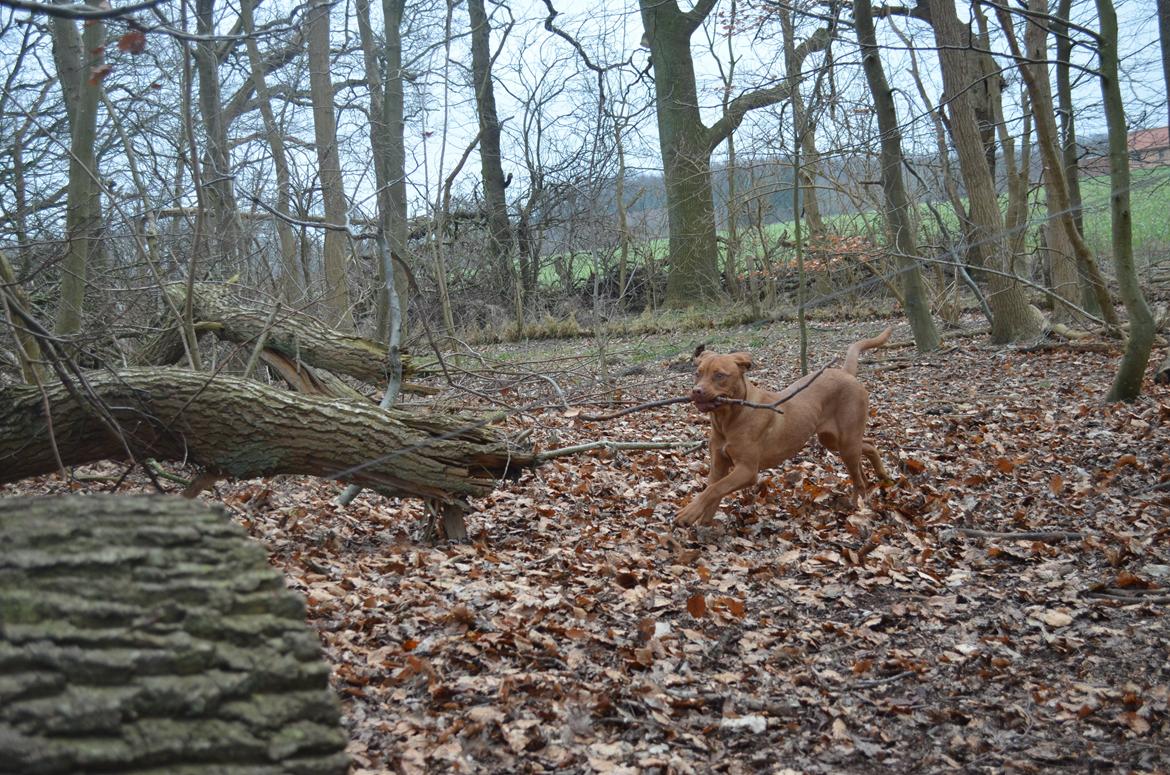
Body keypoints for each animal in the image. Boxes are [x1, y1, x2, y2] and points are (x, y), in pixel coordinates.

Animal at [673, 327, 889, 529]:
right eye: (697, 374)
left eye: (719, 375)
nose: (696, 391)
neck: (728, 420)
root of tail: (845, 372)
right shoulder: (719, 463)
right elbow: (712, 491)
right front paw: (703, 526)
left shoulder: (747, 470)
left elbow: (714, 489)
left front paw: (688, 513)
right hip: (833, 440)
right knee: (868, 445)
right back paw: (882, 476)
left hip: (846, 441)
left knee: (858, 478)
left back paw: (856, 506)